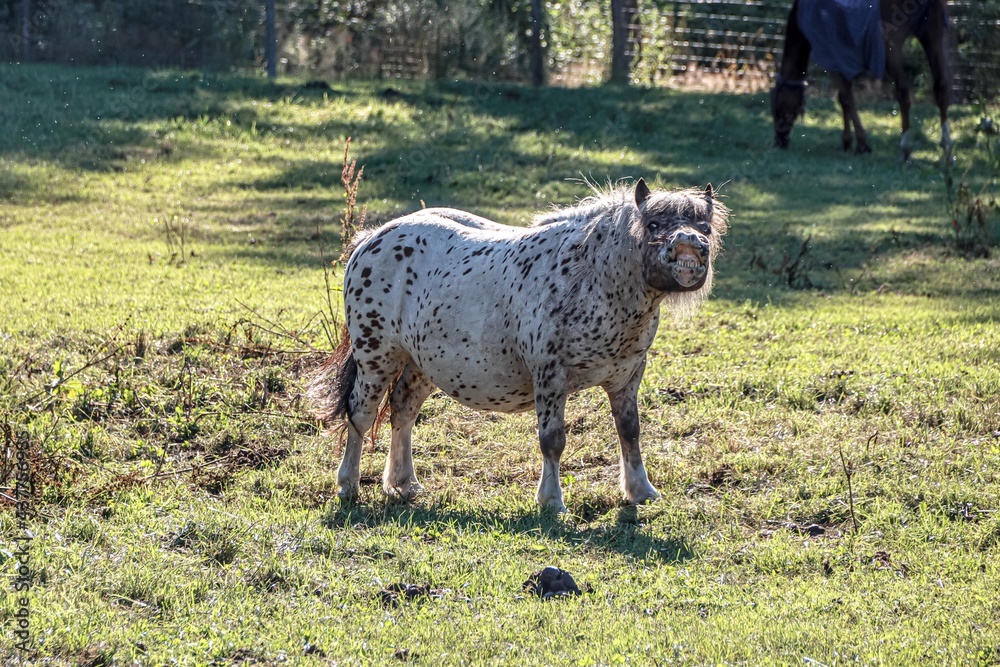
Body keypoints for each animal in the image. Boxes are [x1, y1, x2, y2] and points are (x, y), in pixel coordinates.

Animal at [309, 180, 729, 512]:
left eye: (704, 226)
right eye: (653, 224)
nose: (690, 247)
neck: (591, 279)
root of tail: (372, 238)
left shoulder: (627, 377)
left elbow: (630, 431)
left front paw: (641, 491)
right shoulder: (550, 377)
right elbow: (553, 441)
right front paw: (552, 500)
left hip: (421, 366)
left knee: (403, 412)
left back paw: (403, 483)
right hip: (376, 358)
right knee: (360, 414)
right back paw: (348, 485)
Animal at [771, 0, 954, 162]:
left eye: (777, 110)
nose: (778, 143)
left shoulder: (834, 60)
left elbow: (846, 98)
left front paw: (861, 144)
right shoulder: (844, 60)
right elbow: (843, 98)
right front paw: (847, 141)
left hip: (891, 49)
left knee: (903, 93)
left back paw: (906, 148)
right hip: (933, 34)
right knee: (941, 88)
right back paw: (947, 149)